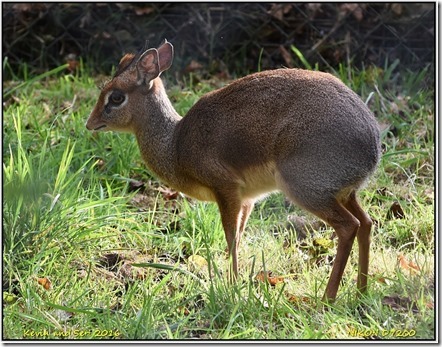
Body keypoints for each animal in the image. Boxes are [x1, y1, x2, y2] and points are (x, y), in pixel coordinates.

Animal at [86, 40, 380, 302]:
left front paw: (232, 286)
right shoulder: (247, 199)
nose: (90, 123)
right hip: (344, 193)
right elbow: (238, 237)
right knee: (366, 223)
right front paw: (232, 281)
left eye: (116, 97)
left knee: (349, 226)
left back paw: (328, 298)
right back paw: (361, 292)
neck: (176, 144)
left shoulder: (225, 188)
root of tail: (373, 144)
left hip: (306, 189)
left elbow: (230, 237)